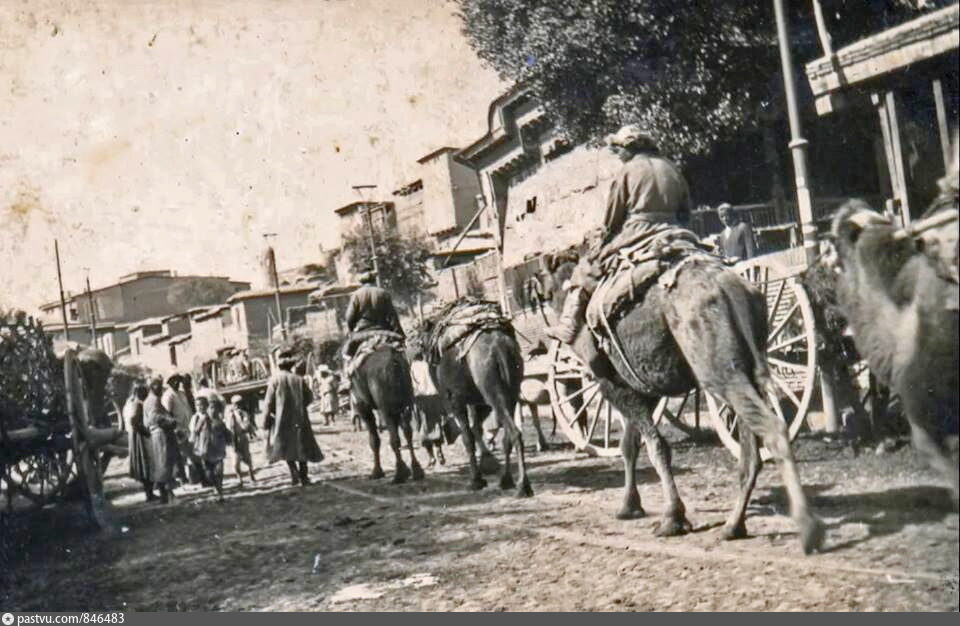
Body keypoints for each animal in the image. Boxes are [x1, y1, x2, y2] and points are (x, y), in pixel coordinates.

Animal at [344, 346, 422, 482]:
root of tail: (394, 363)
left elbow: (374, 440)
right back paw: (416, 470)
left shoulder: (363, 405)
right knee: (407, 432)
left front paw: (376, 472)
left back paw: (399, 474)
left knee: (394, 438)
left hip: (386, 406)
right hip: (405, 401)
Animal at [416, 310, 528, 494]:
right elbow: (476, 428)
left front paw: (476, 480)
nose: (418, 353)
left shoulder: (455, 400)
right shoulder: (478, 402)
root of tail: (499, 347)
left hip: (491, 391)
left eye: (420, 338)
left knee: (514, 432)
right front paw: (486, 465)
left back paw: (523, 486)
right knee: (507, 435)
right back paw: (506, 480)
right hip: (511, 390)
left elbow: (467, 437)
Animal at [540, 251, 824, 552]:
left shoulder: (614, 386)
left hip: (717, 370)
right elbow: (630, 445)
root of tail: (731, 287)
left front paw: (671, 518)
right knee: (751, 446)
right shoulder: (643, 389)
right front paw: (629, 506)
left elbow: (655, 447)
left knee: (772, 428)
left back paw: (808, 528)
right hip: (745, 366)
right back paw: (733, 526)